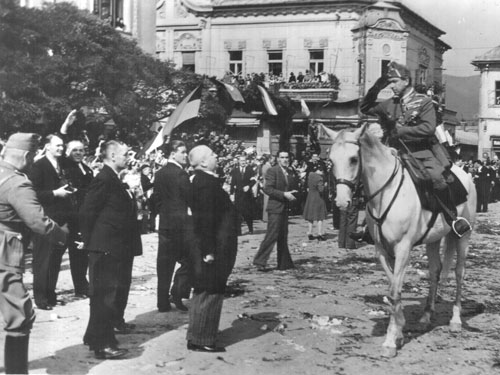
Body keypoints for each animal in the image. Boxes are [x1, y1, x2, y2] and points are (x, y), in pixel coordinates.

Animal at [324, 124, 476, 358]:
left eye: (353, 159)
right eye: (331, 159)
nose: (341, 202)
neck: (384, 193)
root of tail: (464, 174)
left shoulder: (403, 249)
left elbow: (394, 291)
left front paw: (390, 341)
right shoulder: (382, 250)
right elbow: (393, 288)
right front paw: (399, 330)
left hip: (463, 237)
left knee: (459, 272)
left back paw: (456, 319)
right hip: (433, 240)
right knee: (435, 272)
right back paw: (426, 316)